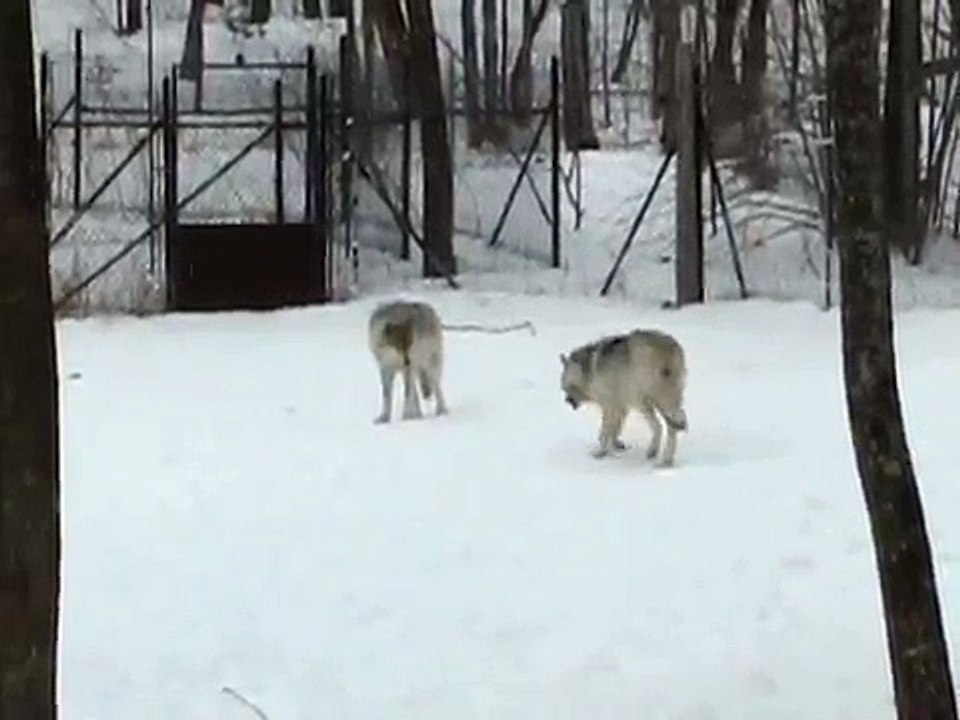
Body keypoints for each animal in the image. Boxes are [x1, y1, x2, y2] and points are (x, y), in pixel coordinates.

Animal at [560, 329, 688, 466]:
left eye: (565, 386)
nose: (567, 400)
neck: (590, 370)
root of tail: (666, 350)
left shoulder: (609, 406)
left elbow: (606, 430)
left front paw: (600, 452)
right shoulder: (621, 406)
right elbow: (615, 429)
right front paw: (616, 445)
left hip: (644, 401)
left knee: (662, 425)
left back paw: (659, 457)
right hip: (659, 401)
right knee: (669, 426)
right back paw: (663, 458)